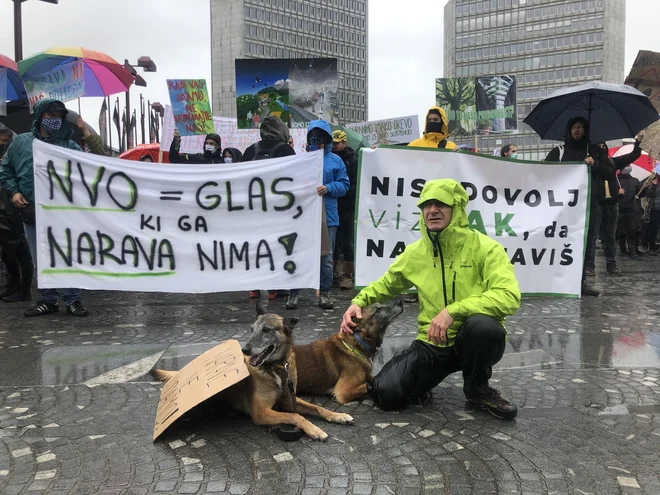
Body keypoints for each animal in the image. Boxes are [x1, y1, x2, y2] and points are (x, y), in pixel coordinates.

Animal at [153, 306, 356, 442]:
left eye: (266, 330)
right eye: (251, 329)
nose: (245, 349)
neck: (276, 368)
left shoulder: (289, 400)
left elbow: (317, 407)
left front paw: (338, 415)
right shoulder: (262, 412)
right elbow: (295, 416)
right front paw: (314, 429)